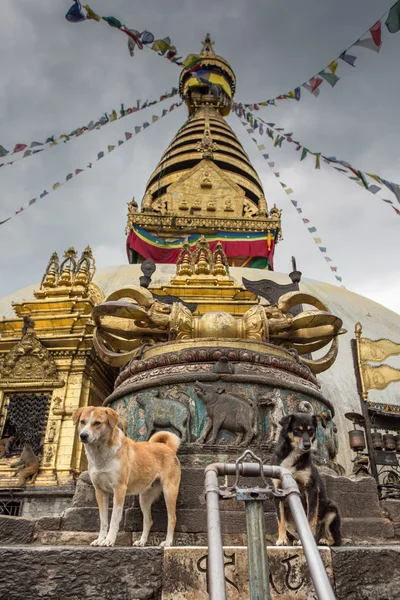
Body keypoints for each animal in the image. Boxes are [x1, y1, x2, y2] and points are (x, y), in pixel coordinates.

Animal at [73, 406, 181, 548]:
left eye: (97, 423)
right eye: (82, 422)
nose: (83, 436)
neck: (101, 454)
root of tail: (169, 448)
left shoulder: (119, 489)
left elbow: (114, 519)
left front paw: (109, 540)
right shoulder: (100, 492)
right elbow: (103, 521)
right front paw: (100, 539)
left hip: (169, 492)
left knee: (172, 518)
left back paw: (167, 542)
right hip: (144, 498)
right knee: (148, 520)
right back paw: (142, 541)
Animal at [274, 412, 342, 548]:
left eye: (311, 431)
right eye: (297, 430)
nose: (307, 445)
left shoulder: (311, 490)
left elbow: (310, 517)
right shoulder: (278, 492)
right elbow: (280, 519)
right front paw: (282, 539)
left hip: (332, 512)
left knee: (335, 540)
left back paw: (323, 540)